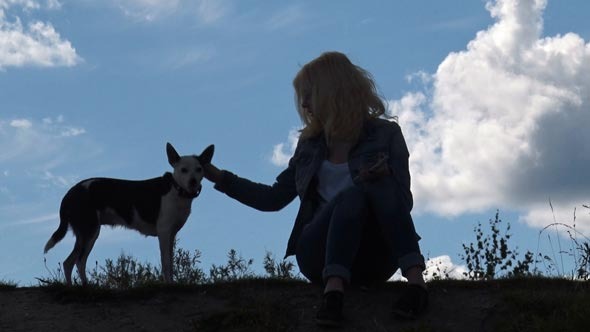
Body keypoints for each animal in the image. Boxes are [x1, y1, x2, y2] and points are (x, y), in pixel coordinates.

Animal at [44, 143, 215, 286]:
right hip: (90, 231)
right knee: (77, 261)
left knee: (70, 262)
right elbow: (166, 262)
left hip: (85, 233)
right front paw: (169, 285)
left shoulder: (171, 234)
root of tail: (70, 194)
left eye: (199, 169)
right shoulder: (164, 232)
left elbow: (171, 262)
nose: (193, 181)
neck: (176, 189)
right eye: (183, 170)